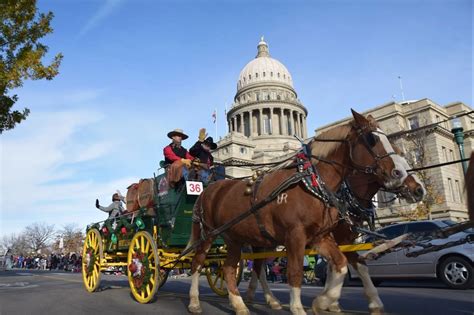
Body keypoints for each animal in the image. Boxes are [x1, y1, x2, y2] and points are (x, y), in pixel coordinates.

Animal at [185, 110, 408, 314]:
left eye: (392, 142)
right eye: (371, 139)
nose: (400, 173)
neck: (312, 182)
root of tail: (208, 189)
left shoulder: (321, 237)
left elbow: (341, 264)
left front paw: (323, 302)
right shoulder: (296, 236)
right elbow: (295, 273)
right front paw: (301, 307)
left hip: (235, 239)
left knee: (231, 268)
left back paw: (241, 304)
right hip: (208, 234)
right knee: (198, 263)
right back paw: (195, 302)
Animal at [246, 148, 428, 314]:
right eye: (397, 171)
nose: (420, 190)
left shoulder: (339, 240)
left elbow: (344, 266)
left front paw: (332, 301)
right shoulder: (340, 238)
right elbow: (345, 265)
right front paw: (330, 301)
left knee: (258, 267)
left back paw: (260, 297)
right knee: (258, 267)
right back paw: (264, 298)